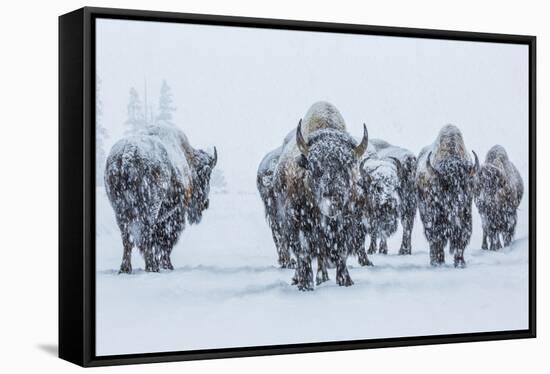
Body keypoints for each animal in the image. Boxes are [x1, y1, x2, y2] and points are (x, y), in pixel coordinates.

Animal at [104, 124, 217, 274]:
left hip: (119, 210)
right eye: (207, 175)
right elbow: (166, 240)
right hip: (150, 208)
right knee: (146, 234)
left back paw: (126, 269)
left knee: (127, 237)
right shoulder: (174, 213)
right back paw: (152, 267)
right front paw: (168, 265)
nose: (205, 204)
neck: (187, 160)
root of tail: (127, 153)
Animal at [272, 101, 370, 290]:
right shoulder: (298, 223)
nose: (333, 200)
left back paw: (323, 277)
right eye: (315, 167)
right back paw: (301, 278)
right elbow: (303, 253)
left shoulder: (347, 223)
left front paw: (345, 280)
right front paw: (305, 284)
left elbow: (341, 252)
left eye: (348, 166)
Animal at [418, 124, 478, 268]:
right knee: (433, 240)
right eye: (446, 184)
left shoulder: (465, 218)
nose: (459, 202)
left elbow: (461, 239)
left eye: (466, 184)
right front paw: (437, 261)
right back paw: (436, 260)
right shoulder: (434, 218)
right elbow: (437, 239)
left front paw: (460, 263)